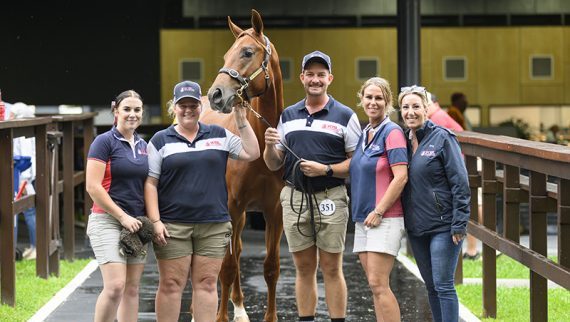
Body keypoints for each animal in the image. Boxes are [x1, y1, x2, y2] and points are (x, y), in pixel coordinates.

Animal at [200, 9, 284, 322]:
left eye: (247, 52)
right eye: (226, 55)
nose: (217, 94)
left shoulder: (274, 211)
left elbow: (271, 268)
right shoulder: (233, 207)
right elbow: (226, 267)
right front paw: (220, 317)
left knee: (236, 248)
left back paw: (239, 308)